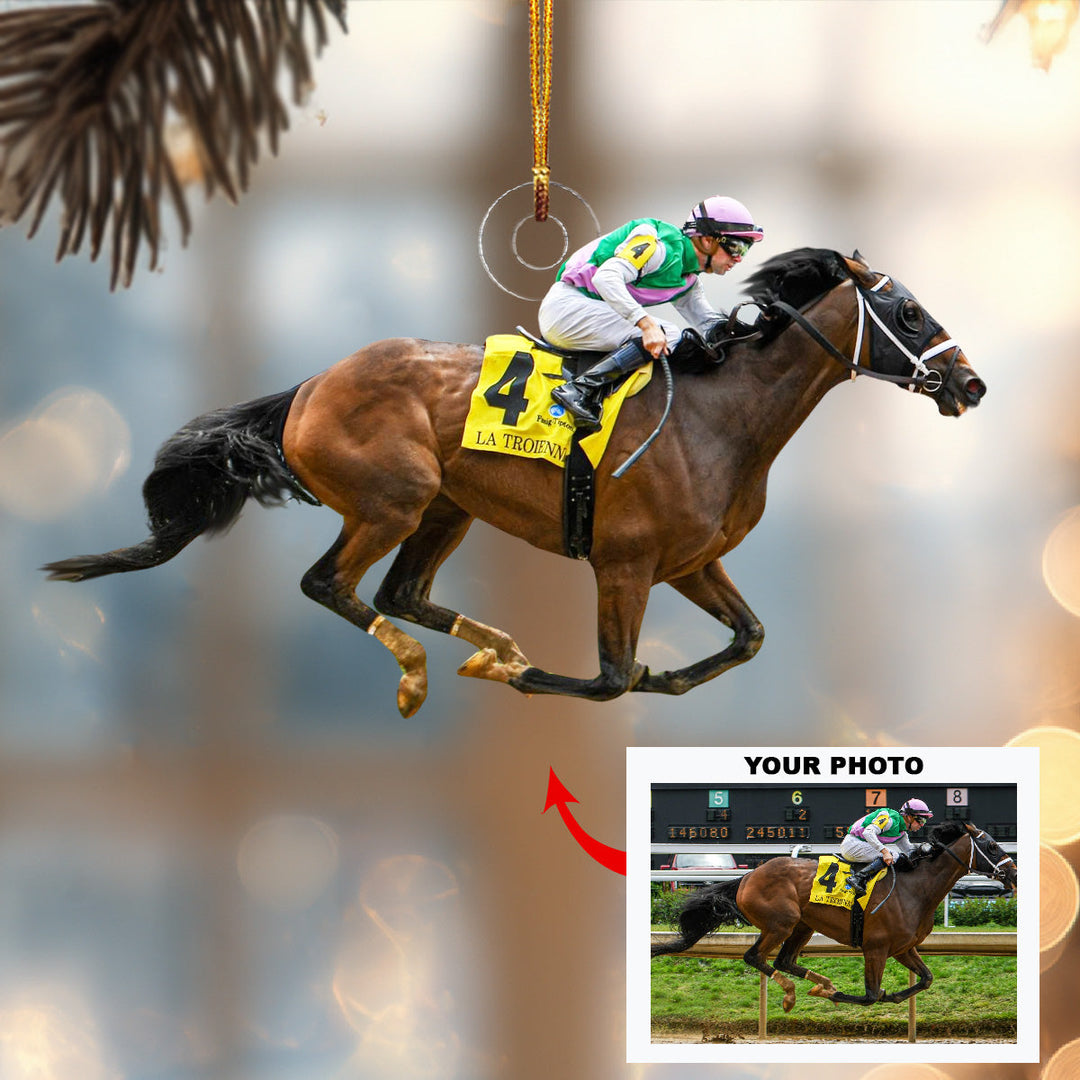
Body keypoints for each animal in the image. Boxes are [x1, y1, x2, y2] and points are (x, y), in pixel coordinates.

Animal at [41, 248, 987, 717]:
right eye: (909, 313)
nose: (971, 385)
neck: (722, 415)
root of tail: (311, 386)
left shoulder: (688, 562)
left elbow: (748, 638)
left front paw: (663, 680)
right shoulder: (625, 564)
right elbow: (609, 678)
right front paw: (542, 680)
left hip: (447, 507)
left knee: (401, 593)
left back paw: (492, 645)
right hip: (395, 498)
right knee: (332, 585)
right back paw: (430, 671)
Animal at [650, 820, 1017, 1009]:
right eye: (993, 846)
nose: (1013, 873)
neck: (916, 888)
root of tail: (749, 875)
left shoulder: (902, 947)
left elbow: (926, 978)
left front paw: (893, 995)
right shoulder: (876, 948)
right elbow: (870, 997)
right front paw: (841, 995)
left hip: (802, 926)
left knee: (783, 960)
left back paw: (820, 984)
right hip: (780, 922)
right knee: (755, 957)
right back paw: (795, 992)